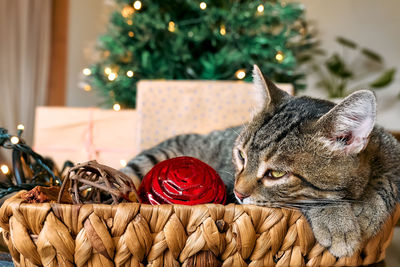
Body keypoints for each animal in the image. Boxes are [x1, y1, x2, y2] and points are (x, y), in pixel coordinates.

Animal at [122, 65, 400, 260]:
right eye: (241, 156)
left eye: (276, 174)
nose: (238, 192)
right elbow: (313, 202)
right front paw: (338, 220)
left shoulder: (393, 151)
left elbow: (387, 182)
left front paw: (367, 208)